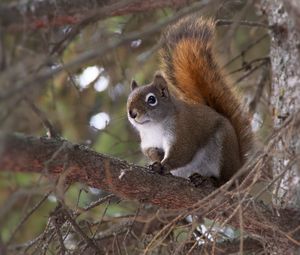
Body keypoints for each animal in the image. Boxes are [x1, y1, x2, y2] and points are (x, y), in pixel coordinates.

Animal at [125, 16, 252, 183]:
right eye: (129, 99)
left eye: (151, 99)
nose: (132, 113)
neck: (154, 126)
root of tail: (239, 169)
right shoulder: (148, 142)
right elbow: (152, 152)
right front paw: (156, 161)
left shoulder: (183, 132)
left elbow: (182, 153)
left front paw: (163, 166)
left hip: (224, 149)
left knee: (226, 179)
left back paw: (210, 180)